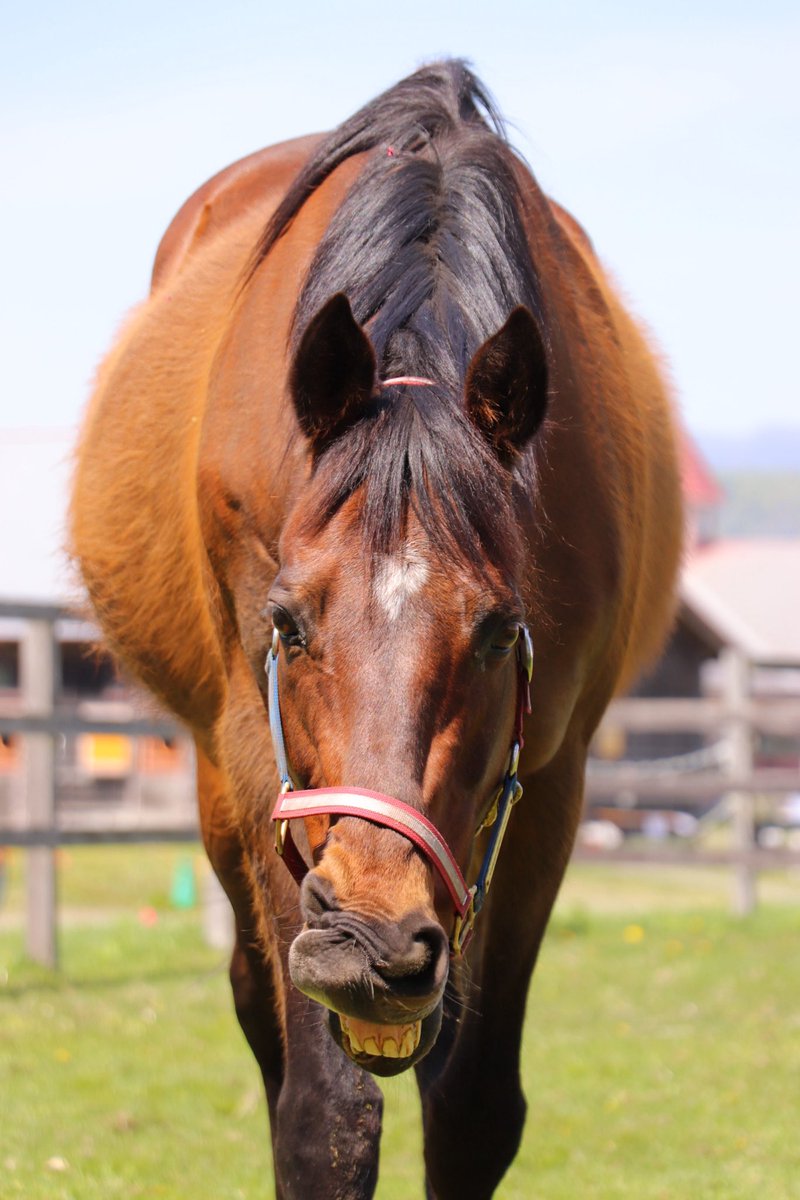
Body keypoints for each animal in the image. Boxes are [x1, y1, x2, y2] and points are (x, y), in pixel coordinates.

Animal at [70, 60, 681, 1195]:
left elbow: (474, 1107)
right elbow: (325, 1118)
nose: (369, 938)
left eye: (500, 630)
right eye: (286, 623)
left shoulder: (550, 784)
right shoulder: (262, 767)